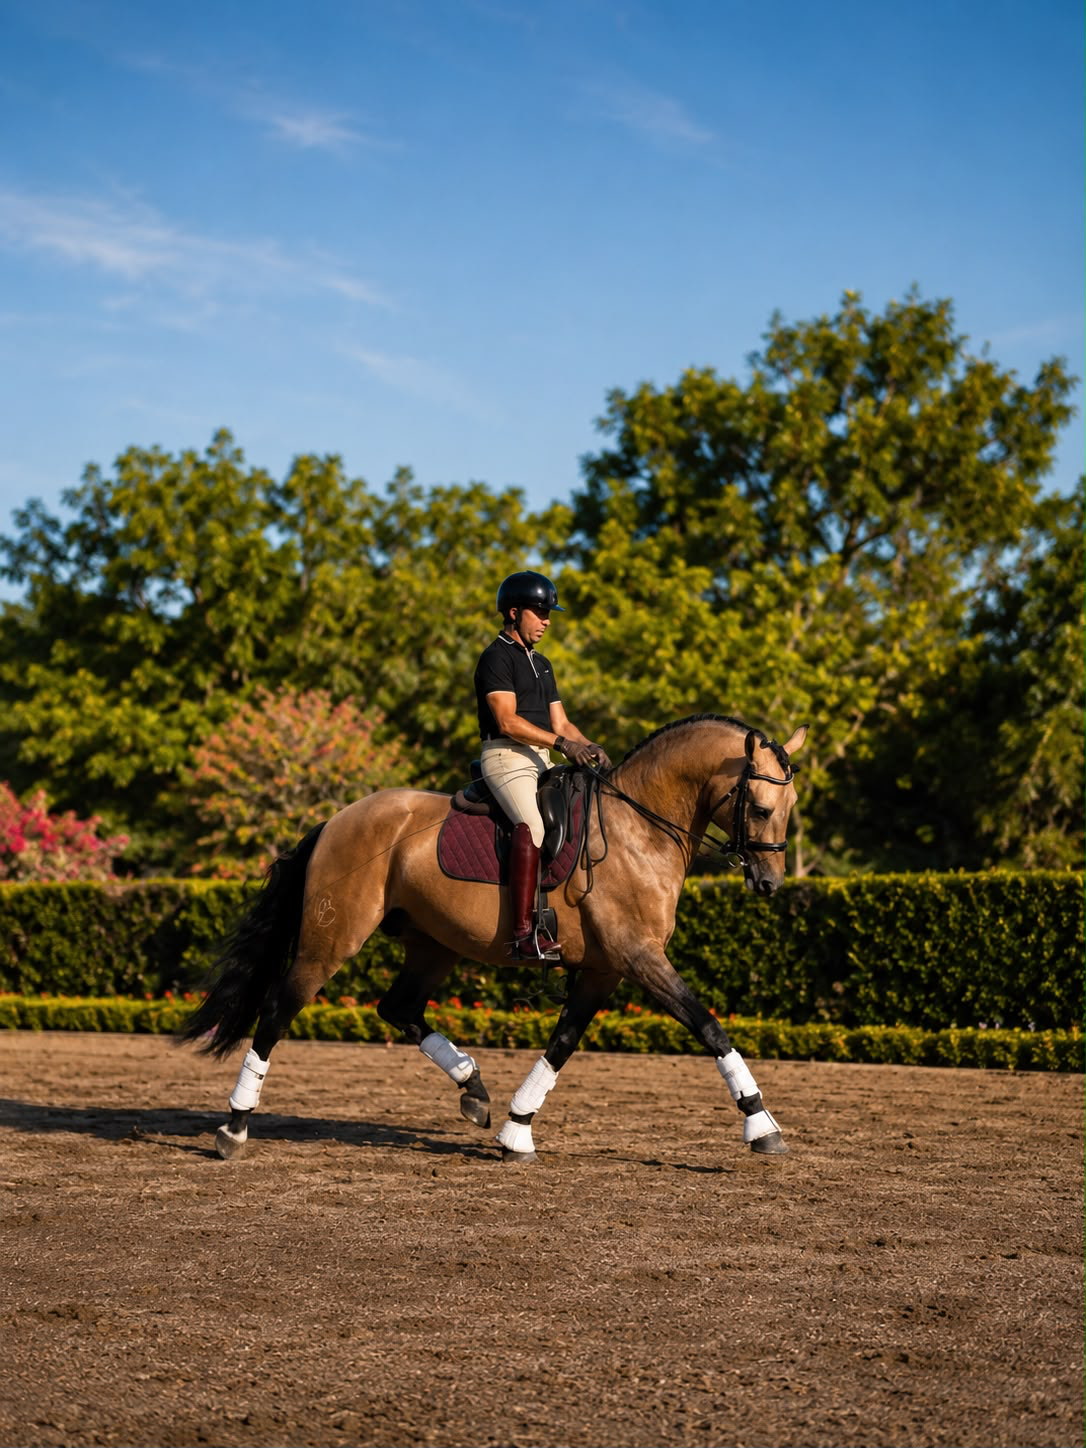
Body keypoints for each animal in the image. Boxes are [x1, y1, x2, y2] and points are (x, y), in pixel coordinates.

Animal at [180, 713, 808, 1164]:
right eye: (759, 807)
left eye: (790, 807)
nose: (770, 883)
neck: (640, 829)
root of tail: (337, 820)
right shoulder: (639, 957)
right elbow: (707, 1024)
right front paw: (760, 1124)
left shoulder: (605, 969)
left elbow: (563, 1042)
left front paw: (515, 1131)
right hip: (330, 941)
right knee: (277, 1011)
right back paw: (234, 1128)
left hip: (434, 945)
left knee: (399, 1007)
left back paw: (473, 1089)